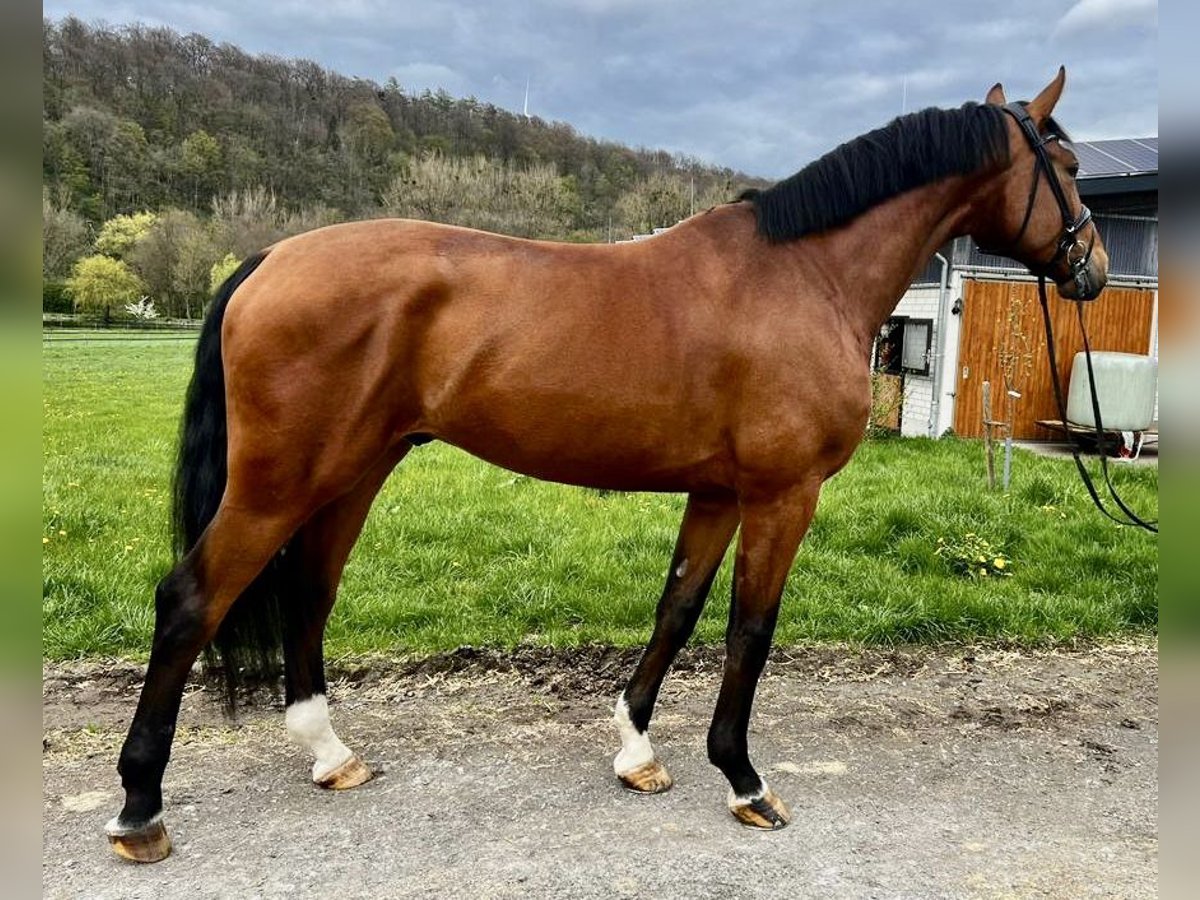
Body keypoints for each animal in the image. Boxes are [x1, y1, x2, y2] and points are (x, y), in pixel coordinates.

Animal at [108, 68, 1108, 859]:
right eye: (1066, 169)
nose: (1092, 268)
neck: (804, 276)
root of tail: (270, 257)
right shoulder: (781, 494)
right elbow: (750, 629)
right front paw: (744, 781)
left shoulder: (717, 492)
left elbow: (678, 609)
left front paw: (636, 750)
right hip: (281, 483)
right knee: (192, 599)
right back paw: (140, 808)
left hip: (353, 473)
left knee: (309, 592)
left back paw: (329, 754)